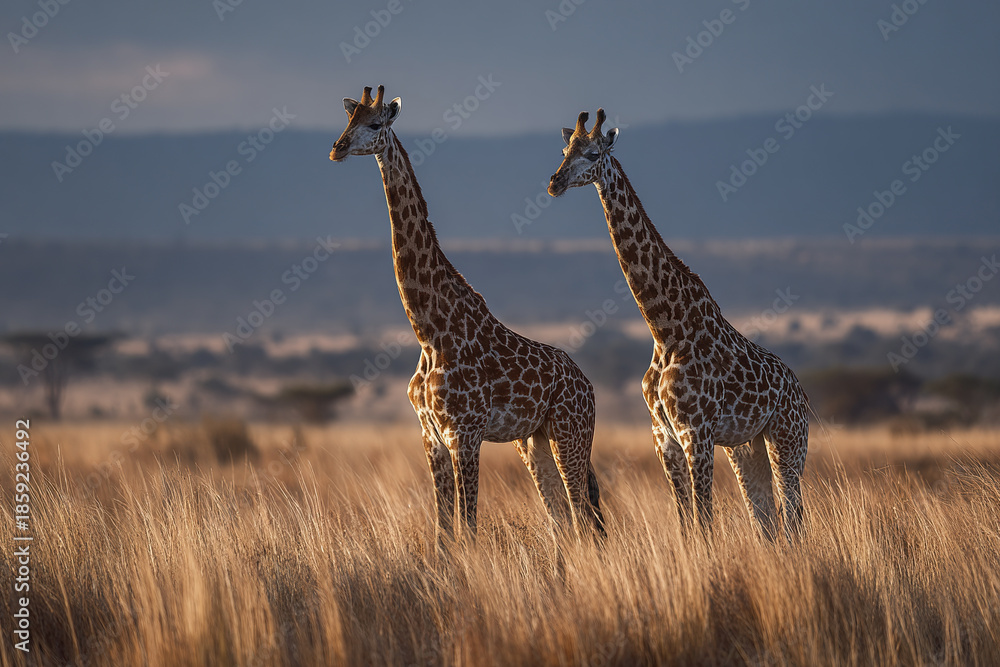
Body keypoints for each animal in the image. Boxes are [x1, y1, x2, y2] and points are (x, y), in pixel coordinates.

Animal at [329, 86, 605, 546]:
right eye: (348, 120)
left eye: (374, 123)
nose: (337, 148)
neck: (429, 330)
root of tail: (588, 386)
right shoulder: (431, 437)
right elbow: (443, 532)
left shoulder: (465, 434)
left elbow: (468, 527)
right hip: (535, 442)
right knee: (564, 521)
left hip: (571, 434)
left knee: (584, 518)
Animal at [547, 109, 808, 540]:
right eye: (565, 150)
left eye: (593, 153)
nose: (554, 183)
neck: (665, 328)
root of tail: (801, 392)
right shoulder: (664, 438)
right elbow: (686, 521)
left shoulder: (696, 434)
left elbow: (704, 520)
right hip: (746, 447)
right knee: (767, 519)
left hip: (788, 440)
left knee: (794, 515)